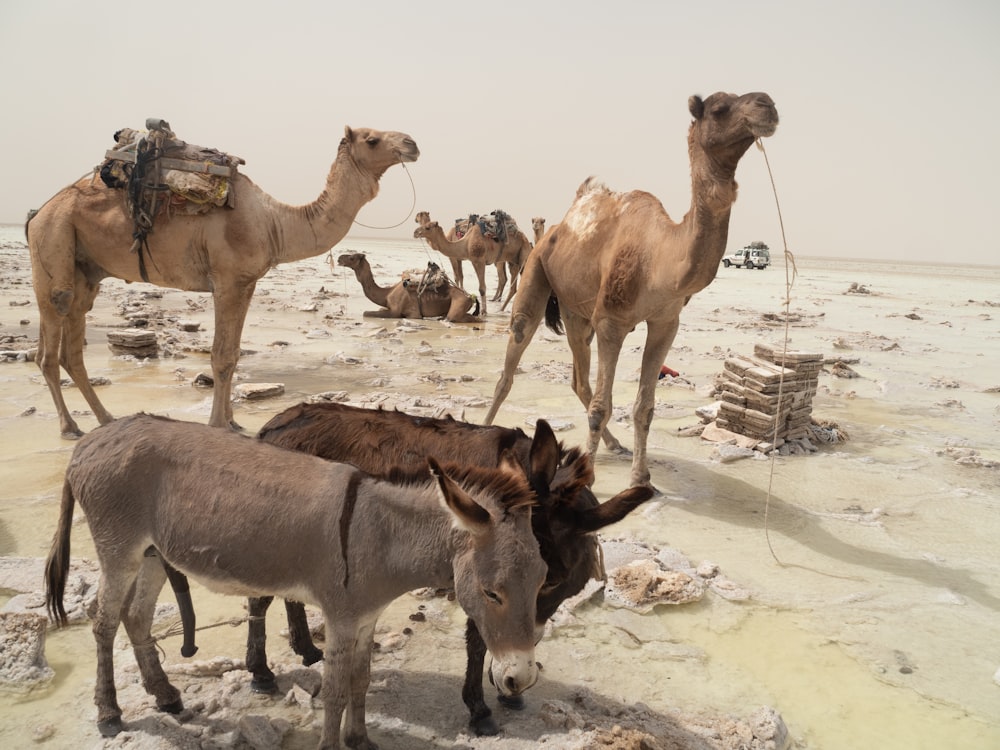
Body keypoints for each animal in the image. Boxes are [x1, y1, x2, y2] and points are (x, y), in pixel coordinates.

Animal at [27, 125, 418, 438]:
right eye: (371, 139)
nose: (412, 143)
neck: (275, 223)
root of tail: (37, 213)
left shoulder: (246, 283)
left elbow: (233, 353)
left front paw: (233, 421)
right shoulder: (227, 281)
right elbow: (221, 357)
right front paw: (218, 424)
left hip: (85, 269)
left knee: (72, 346)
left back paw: (105, 418)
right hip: (55, 239)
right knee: (50, 341)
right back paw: (70, 426)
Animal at [242, 402, 648, 736]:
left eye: (552, 583)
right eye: (541, 581)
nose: (516, 680)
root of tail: (273, 427)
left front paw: (506, 692)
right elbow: (479, 639)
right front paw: (480, 710)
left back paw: (308, 649)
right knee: (260, 599)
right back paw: (261, 673)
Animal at [338, 253, 482, 324]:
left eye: (352, 257)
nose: (339, 259)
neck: (386, 294)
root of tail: (471, 297)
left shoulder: (401, 313)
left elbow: (366, 313)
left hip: (458, 305)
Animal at [484, 91, 780, 490]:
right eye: (720, 108)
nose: (767, 104)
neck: (660, 257)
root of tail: (555, 230)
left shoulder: (666, 322)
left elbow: (644, 406)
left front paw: (641, 477)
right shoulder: (612, 321)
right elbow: (601, 407)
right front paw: (590, 481)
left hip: (576, 312)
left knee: (579, 379)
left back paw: (615, 445)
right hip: (536, 271)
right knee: (511, 364)